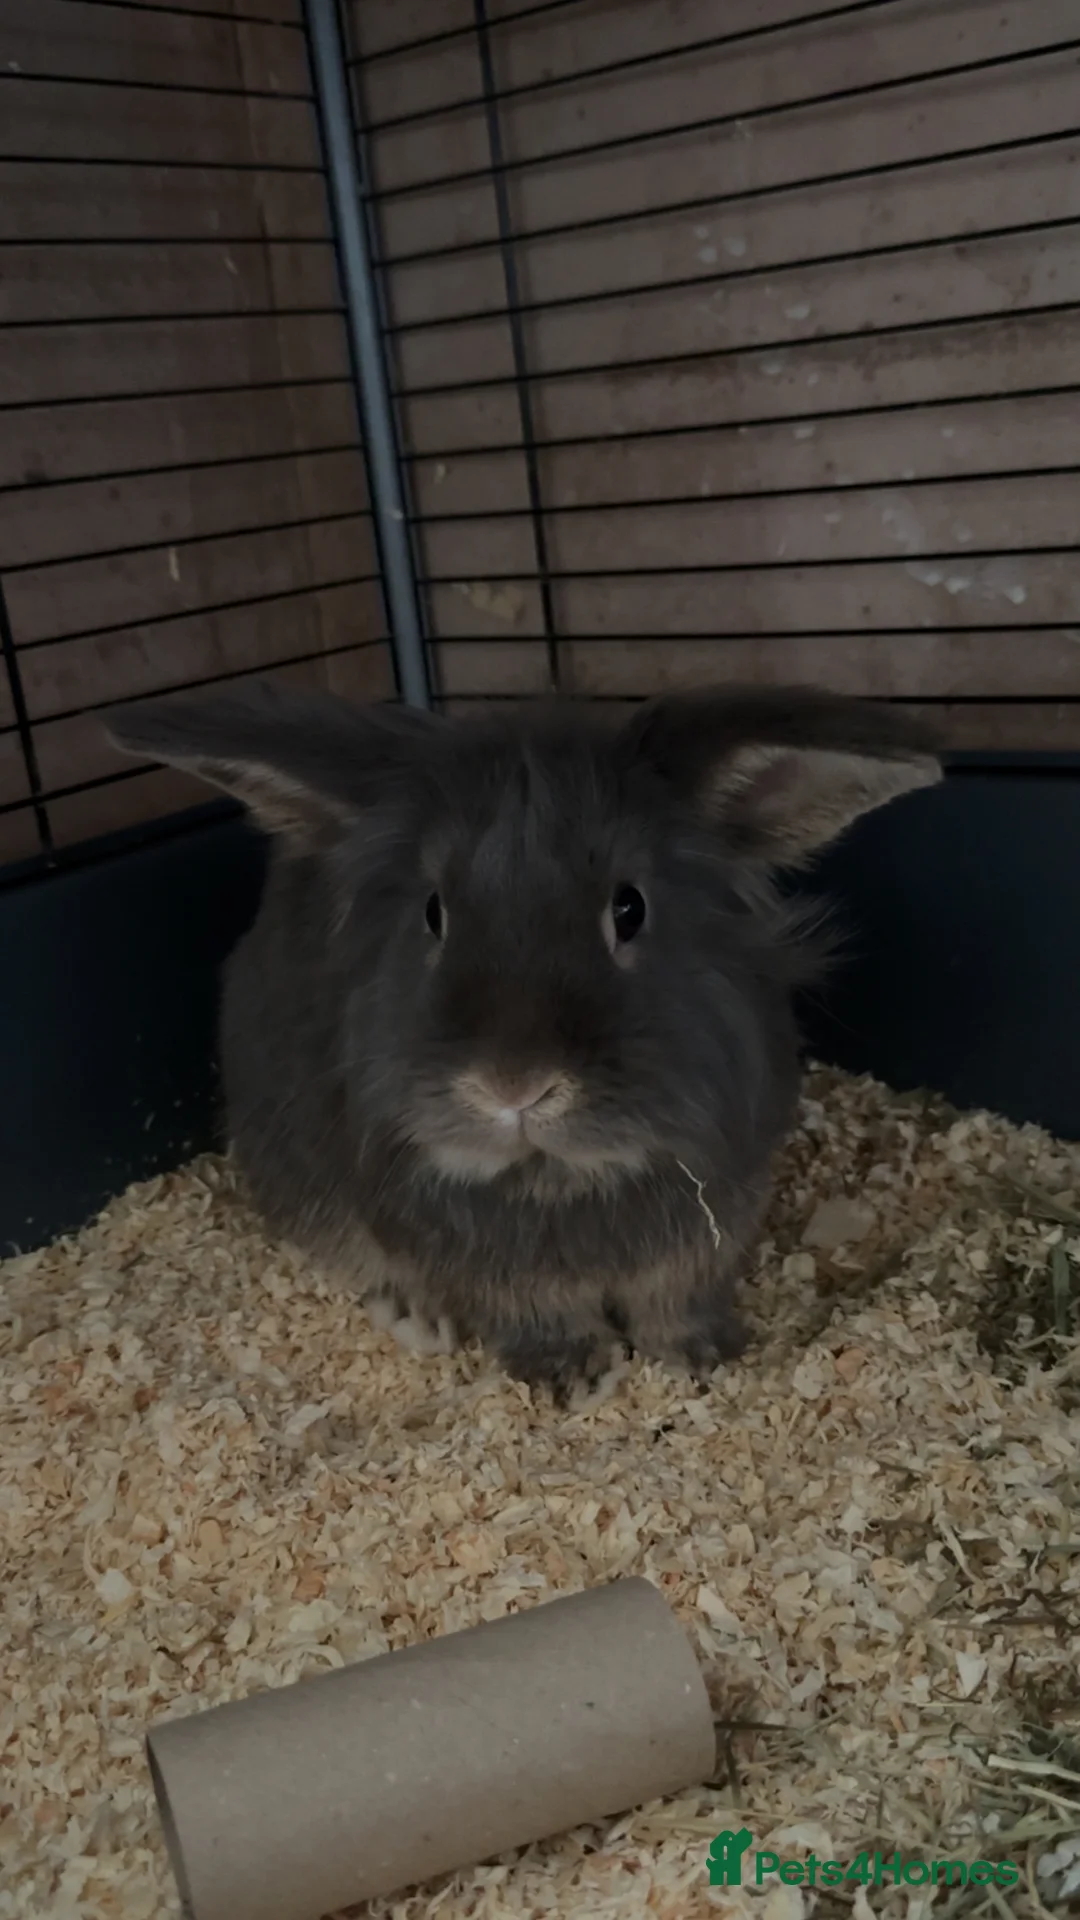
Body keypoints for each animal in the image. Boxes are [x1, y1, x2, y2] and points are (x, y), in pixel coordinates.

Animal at [106, 681, 940, 1400]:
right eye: (433, 913)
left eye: (630, 908)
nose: (514, 1087)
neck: (557, 1178)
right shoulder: (490, 1270)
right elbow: (534, 1313)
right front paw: (570, 1377)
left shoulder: (711, 1231)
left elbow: (678, 1301)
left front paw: (703, 1358)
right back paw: (419, 1316)